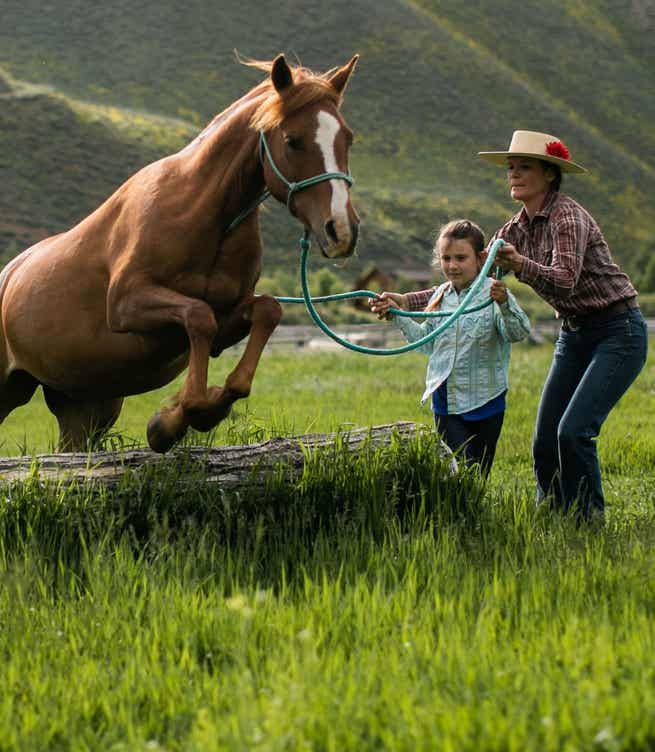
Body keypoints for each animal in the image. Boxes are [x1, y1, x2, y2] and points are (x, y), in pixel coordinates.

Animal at [0, 55, 358, 452]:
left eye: (347, 138)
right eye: (293, 141)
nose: (341, 230)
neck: (203, 213)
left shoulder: (228, 318)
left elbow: (267, 311)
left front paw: (188, 414)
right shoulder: (126, 304)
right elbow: (198, 317)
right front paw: (172, 421)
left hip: (85, 404)